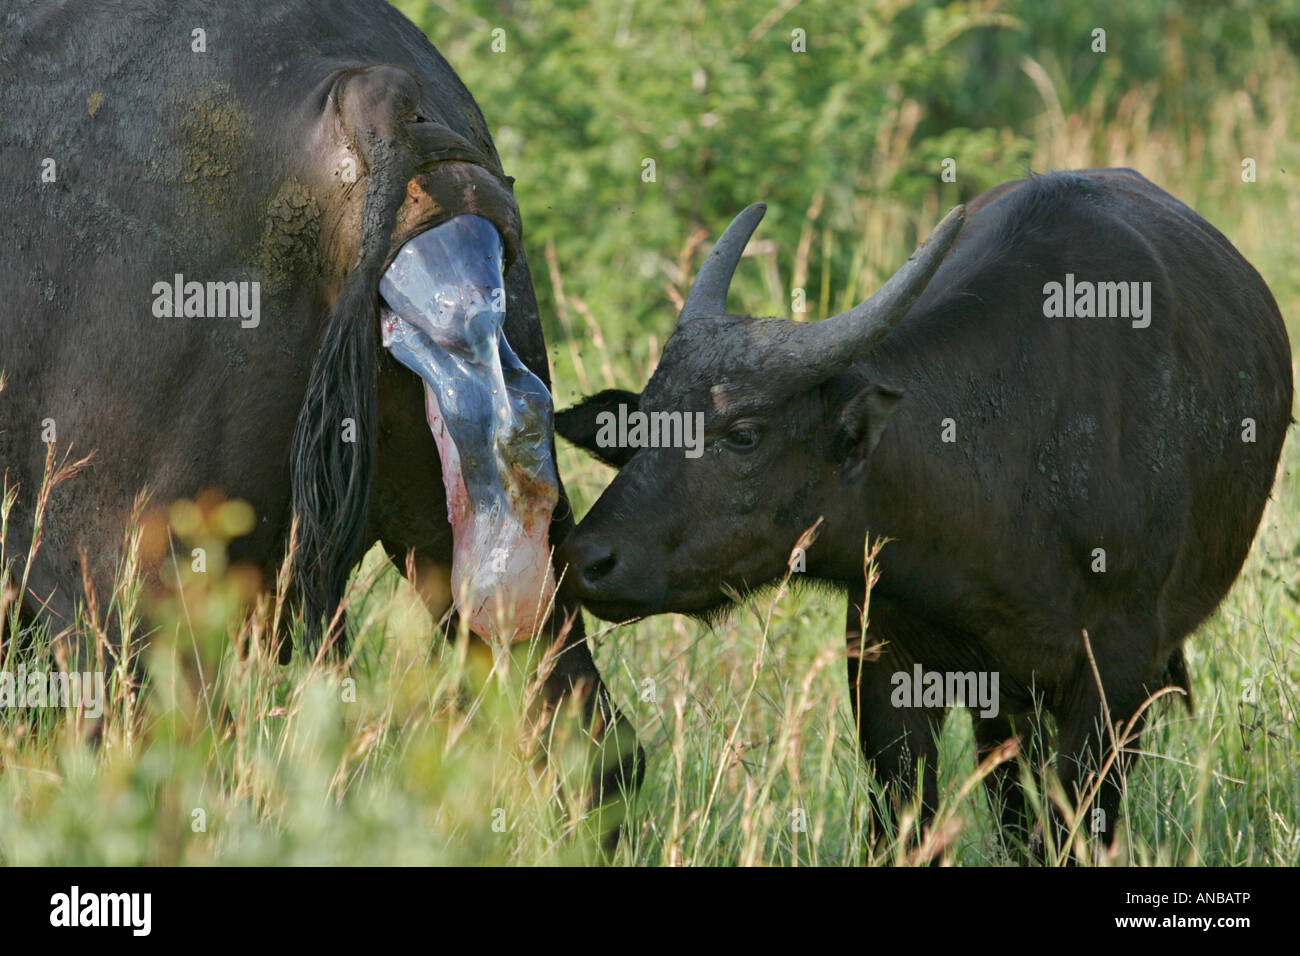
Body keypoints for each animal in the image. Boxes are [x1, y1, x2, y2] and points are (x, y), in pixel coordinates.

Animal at [556, 169, 1293, 853]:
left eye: (743, 433)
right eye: (643, 424)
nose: (585, 557)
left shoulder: (1115, 674)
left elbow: (1079, 824)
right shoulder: (885, 659)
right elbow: (904, 819)